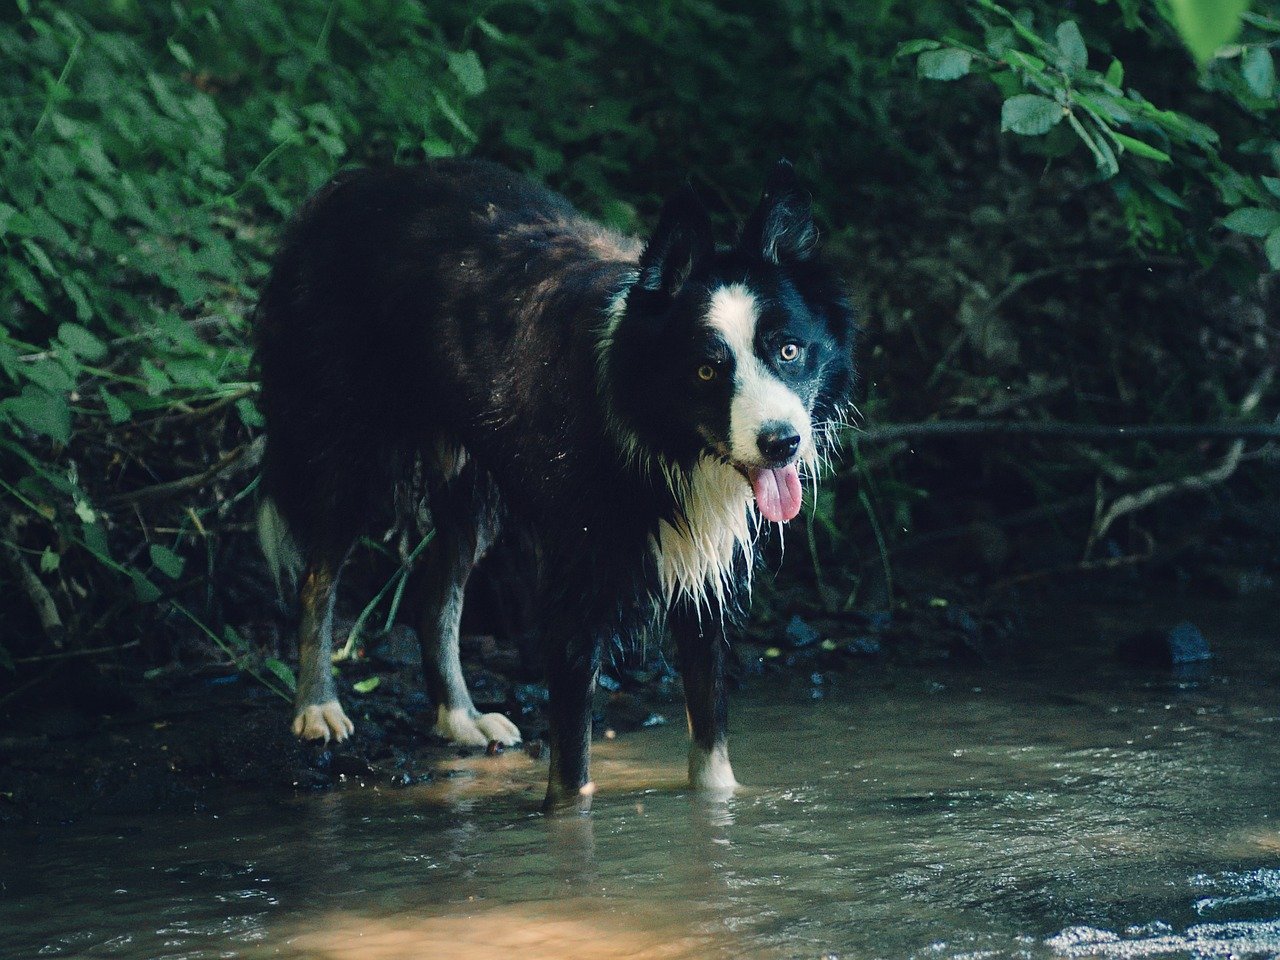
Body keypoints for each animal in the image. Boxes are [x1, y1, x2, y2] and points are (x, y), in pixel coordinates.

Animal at [254, 160, 855, 814]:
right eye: (706, 370)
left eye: (789, 350)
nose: (782, 443)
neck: (652, 434)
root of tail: (343, 187)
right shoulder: (575, 588)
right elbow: (571, 773)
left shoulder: (700, 577)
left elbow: (711, 751)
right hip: (346, 447)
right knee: (317, 577)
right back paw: (318, 707)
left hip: (472, 488)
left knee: (436, 593)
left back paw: (461, 718)